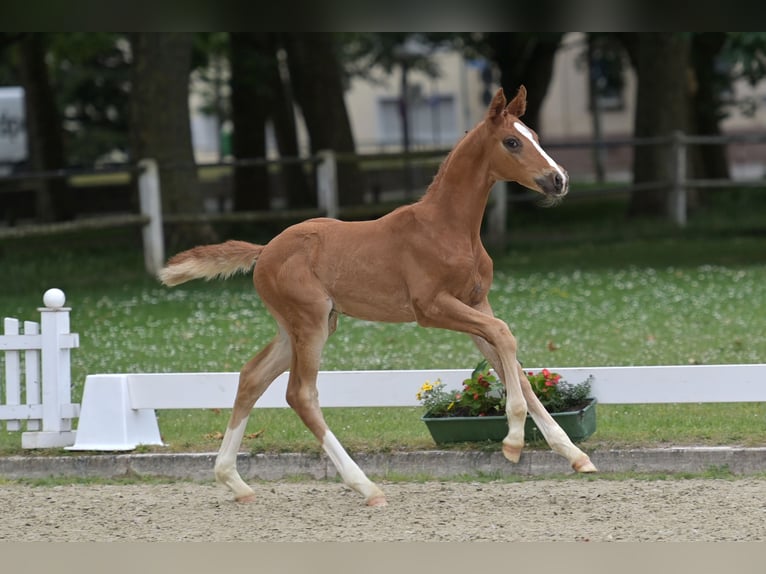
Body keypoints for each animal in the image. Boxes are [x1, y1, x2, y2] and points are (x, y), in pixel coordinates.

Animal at [159, 86, 597, 507]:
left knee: (252, 378)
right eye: (511, 141)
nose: (558, 180)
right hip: (310, 323)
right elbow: (506, 337)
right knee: (300, 393)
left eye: (535, 135)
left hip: (300, 327)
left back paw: (234, 481)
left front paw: (575, 455)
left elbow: (513, 367)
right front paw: (513, 443)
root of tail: (265, 250)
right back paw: (365, 486)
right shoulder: (433, 308)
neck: (448, 229)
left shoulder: (475, 305)